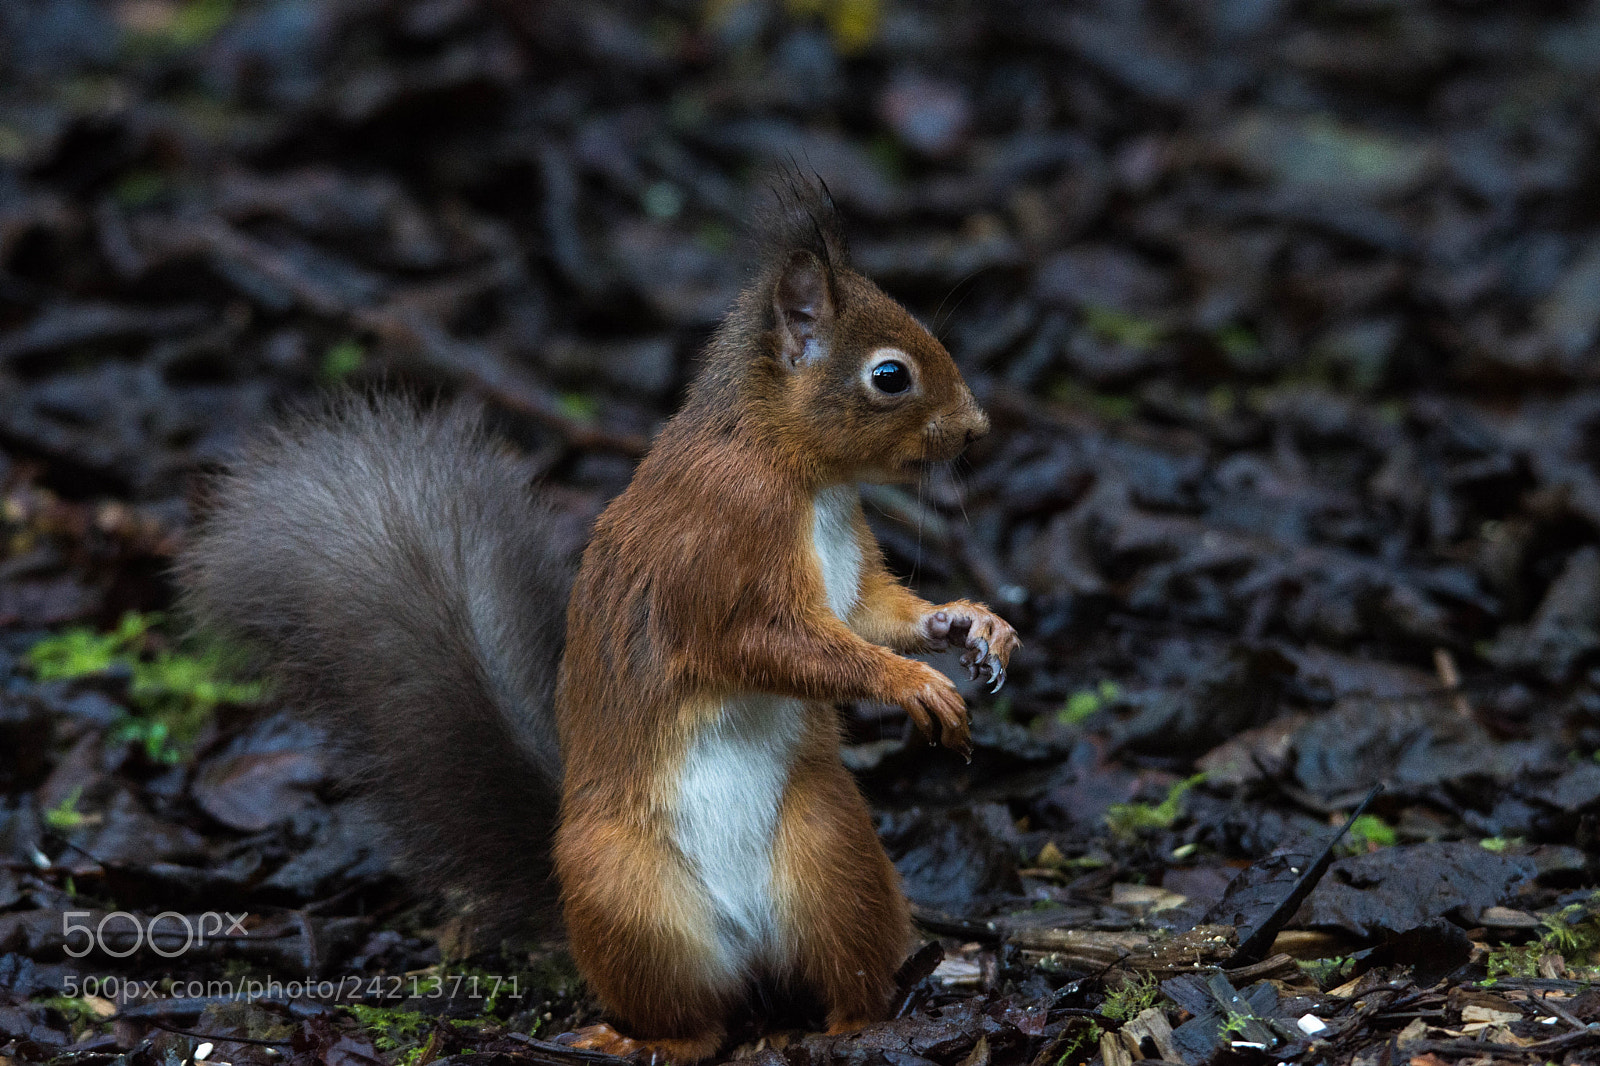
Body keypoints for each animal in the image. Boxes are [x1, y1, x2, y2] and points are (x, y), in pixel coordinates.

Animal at [180, 182, 1018, 1063]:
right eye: (889, 376)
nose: (978, 429)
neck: (793, 469)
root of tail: (751, 950)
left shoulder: (845, 574)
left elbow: (873, 612)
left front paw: (969, 626)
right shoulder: (715, 558)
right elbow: (768, 644)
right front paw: (911, 682)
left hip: (832, 852)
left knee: (842, 973)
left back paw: (867, 1022)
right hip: (627, 895)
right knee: (695, 1022)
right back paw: (637, 1040)